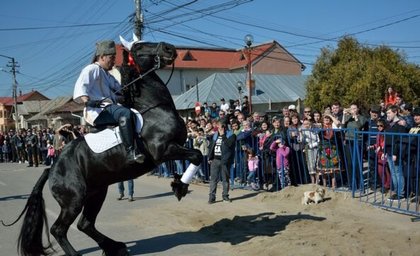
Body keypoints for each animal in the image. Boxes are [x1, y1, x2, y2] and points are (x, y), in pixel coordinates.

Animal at [7, 40, 203, 256]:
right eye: (140, 47)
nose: (170, 49)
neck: (154, 109)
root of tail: (52, 167)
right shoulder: (163, 150)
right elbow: (197, 155)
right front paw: (180, 187)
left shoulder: (177, 146)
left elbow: (193, 157)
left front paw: (178, 182)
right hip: (74, 200)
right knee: (59, 229)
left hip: (97, 192)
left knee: (85, 224)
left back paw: (115, 246)